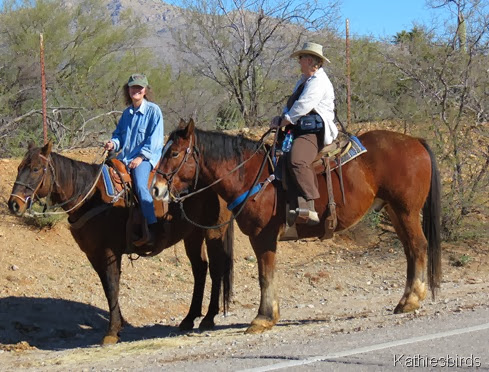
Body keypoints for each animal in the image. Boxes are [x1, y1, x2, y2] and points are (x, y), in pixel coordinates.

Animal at [7, 141, 233, 344]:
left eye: (36, 168)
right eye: (19, 168)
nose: (14, 204)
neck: (91, 197)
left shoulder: (109, 252)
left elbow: (112, 284)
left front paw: (112, 330)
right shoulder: (94, 254)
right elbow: (108, 288)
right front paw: (119, 324)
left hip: (213, 230)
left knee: (216, 268)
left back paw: (208, 318)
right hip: (193, 234)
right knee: (200, 269)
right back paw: (189, 319)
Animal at [153, 119, 442, 334]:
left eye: (174, 153)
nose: (156, 189)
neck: (252, 176)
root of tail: (415, 141)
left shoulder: (263, 237)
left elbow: (265, 276)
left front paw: (263, 318)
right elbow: (266, 275)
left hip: (406, 211)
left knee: (418, 247)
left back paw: (412, 300)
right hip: (396, 211)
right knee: (410, 250)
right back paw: (406, 299)